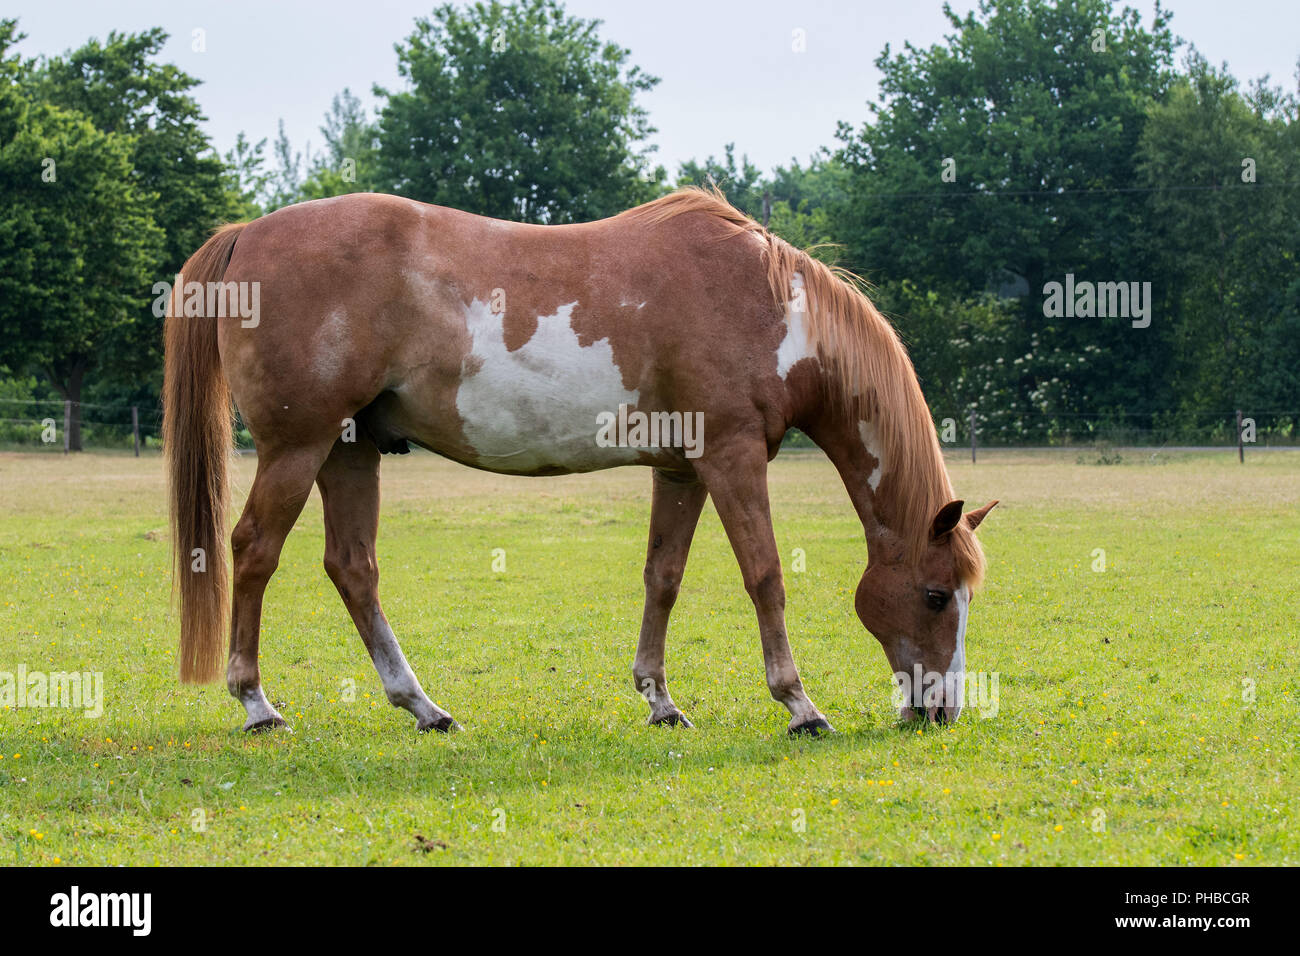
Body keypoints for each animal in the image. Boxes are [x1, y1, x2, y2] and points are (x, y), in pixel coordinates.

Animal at [162, 188, 993, 738]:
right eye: (934, 597)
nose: (940, 711)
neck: (771, 311)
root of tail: (248, 233)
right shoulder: (732, 457)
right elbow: (764, 577)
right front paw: (799, 705)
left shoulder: (682, 467)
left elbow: (664, 577)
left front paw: (660, 700)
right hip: (296, 448)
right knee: (255, 552)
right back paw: (256, 703)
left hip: (348, 448)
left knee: (352, 568)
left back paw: (423, 706)